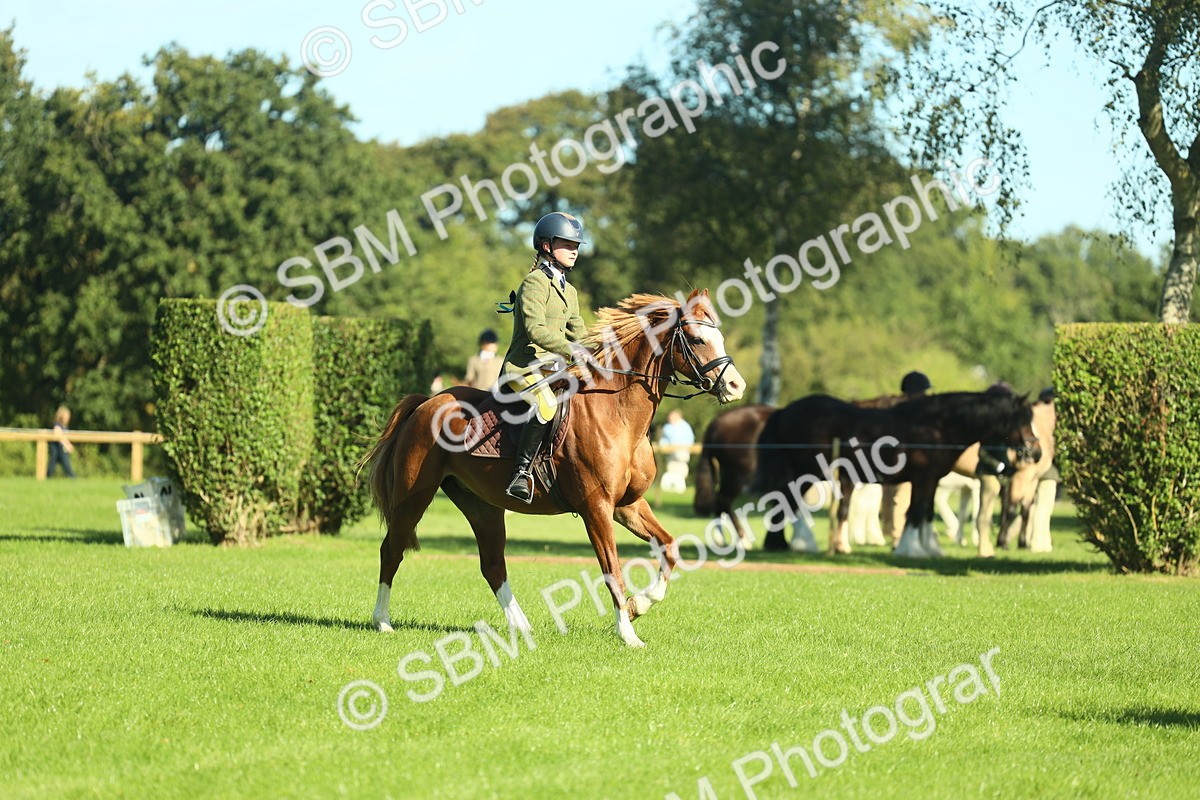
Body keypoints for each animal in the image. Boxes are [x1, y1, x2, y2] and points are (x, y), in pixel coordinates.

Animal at [365, 290, 746, 648]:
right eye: (696, 339)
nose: (736, 386)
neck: (617, 413)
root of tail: (427, 402)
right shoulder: (597, 508)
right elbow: (612, 570)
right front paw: (628, 634)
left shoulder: (628, 506)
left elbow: (669, 548)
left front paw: (639, 605)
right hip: (415, 496)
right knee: (391, 549)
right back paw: (382, 621)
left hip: (481, 504)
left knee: (492, 565)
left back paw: (521, 627)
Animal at [692, 404, 775, 547]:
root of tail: (716, 421)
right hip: (738, 476)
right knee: (723, 500)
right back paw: (742, 539)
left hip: (728, 475)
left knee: (719, 501)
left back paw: (719, 537)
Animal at [752, 392, 1041, 558]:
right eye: (1022, 418)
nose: (1036, 452)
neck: (937, 426)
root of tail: (784, 411)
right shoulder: (923, 479)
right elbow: (915, 513)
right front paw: (911, 549)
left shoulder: (931, 481)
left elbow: (925, 513)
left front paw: (929, 548)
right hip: (808, 471)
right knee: (792, 503)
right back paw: (805, 545)